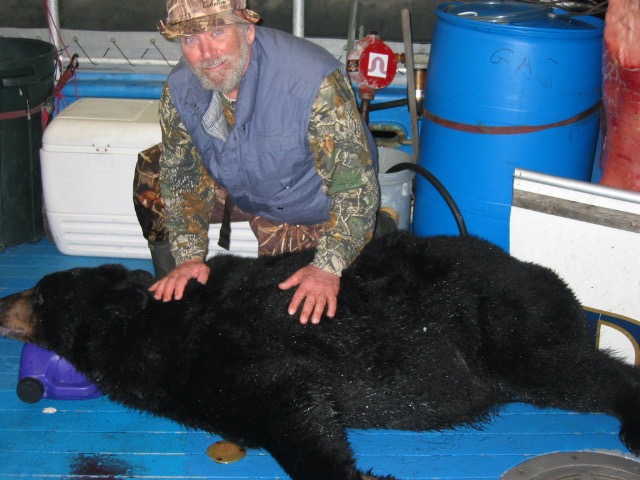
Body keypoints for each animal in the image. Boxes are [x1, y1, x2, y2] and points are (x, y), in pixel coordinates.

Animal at [1, 231, 640, 480]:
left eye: (41, 294)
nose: (4, 298)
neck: (147, 326)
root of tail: (549, 277)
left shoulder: (229, 354)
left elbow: (291, 402)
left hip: (505, 326)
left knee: (579, 372)